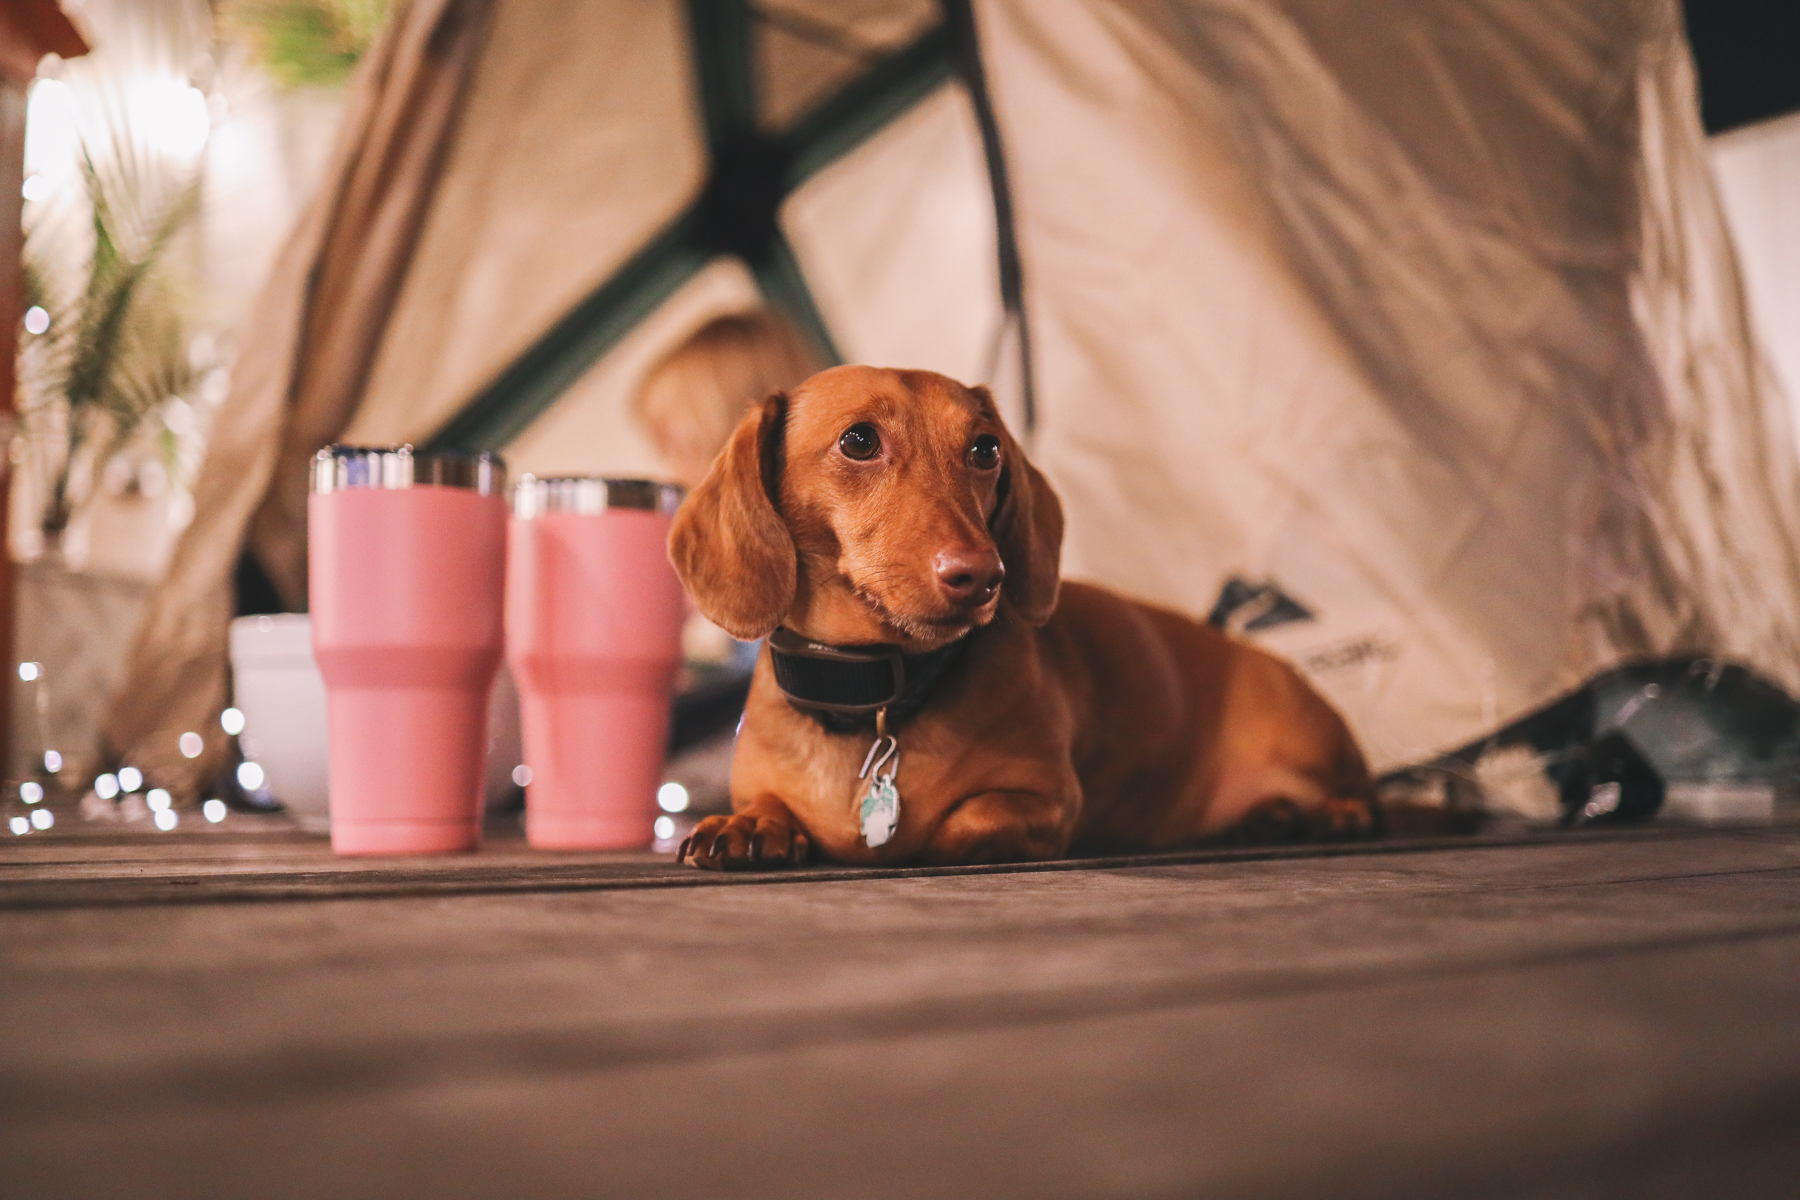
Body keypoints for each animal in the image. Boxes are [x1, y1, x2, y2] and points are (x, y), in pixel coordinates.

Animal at [673, 368, 1375, 874]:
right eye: (859, 440)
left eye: (985, 448)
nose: (984, 576)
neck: (872, 708)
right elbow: (764, 806)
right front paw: (749, 825)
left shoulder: (1048, 799)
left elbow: (960, 824)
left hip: (1313, 736)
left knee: (1363, 794)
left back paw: (1330, 815)